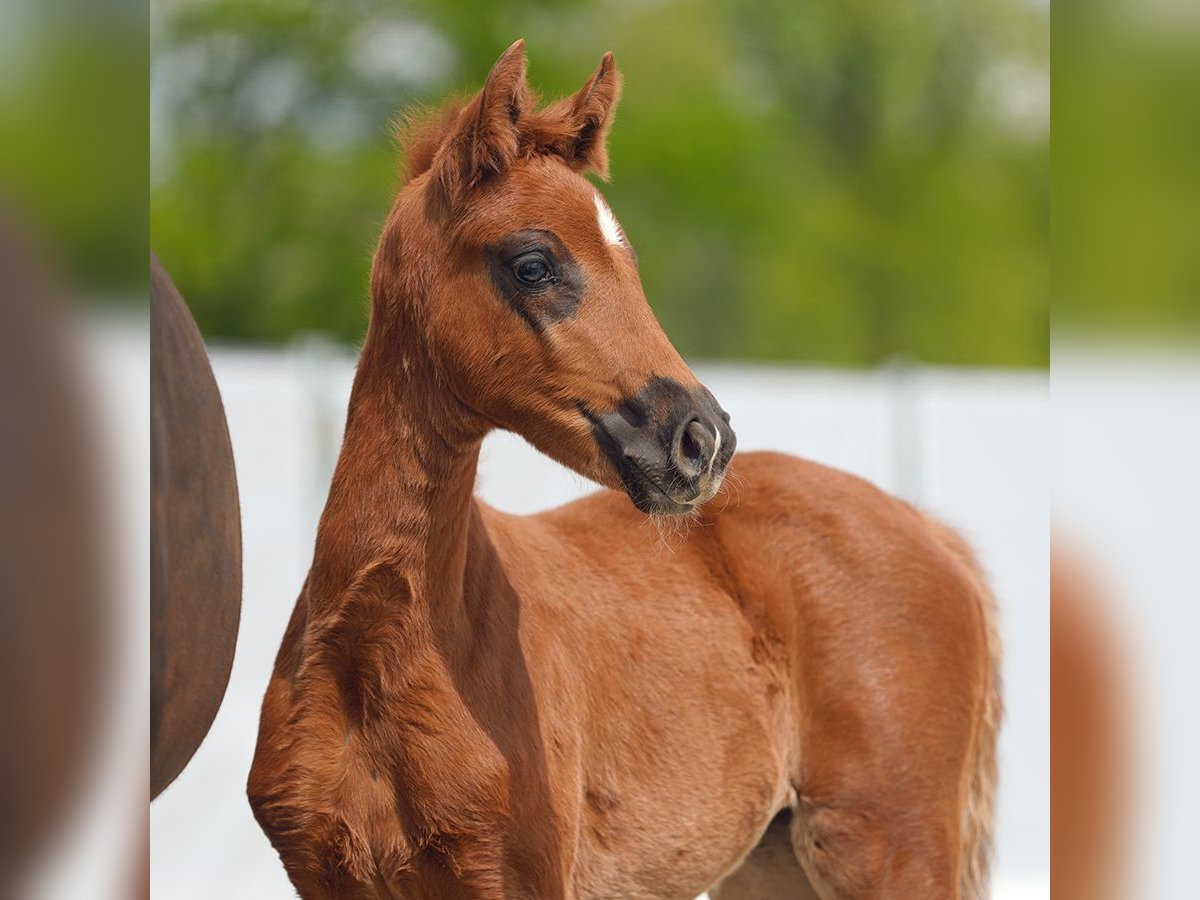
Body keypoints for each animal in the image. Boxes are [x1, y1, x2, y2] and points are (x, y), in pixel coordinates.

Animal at [246, 44, 1003, 900]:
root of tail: (933, 533)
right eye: (534, 263)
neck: (379, 657)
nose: (703, 439)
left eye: (629, 261)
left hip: (891, 849)